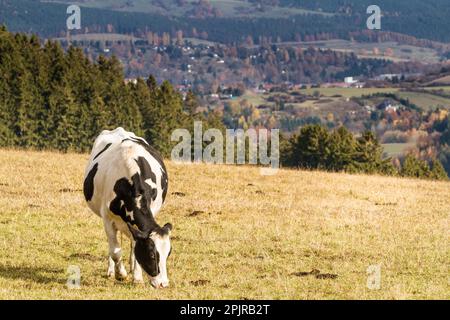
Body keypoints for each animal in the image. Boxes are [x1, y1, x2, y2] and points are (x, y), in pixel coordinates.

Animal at [82, 128, 172, 290]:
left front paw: (137, 277)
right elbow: (115, 251)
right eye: (152, 255)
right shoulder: (107, 219)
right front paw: (121, 274)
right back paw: (111, 270)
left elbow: (134, 247)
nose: (163, 284)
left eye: (168, 254)